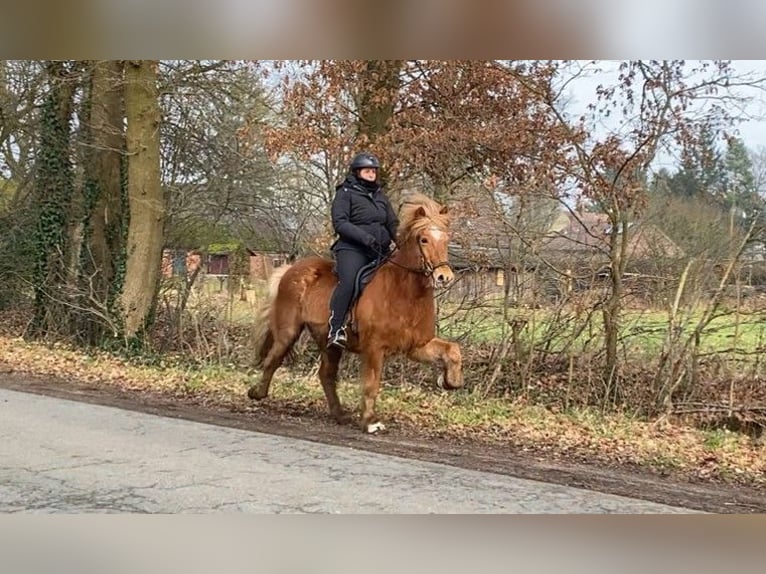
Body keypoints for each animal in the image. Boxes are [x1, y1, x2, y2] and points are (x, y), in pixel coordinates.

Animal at [249, 191, 464, 434]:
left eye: (446, 239)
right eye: (423, 239)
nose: (444, 277)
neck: (404, 292)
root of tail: (291, 270)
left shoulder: (416, 346)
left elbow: (452, 350)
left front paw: (450, 381)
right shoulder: (374, 348)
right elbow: (371, 384)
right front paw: (370, 421)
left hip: (328, 342)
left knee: (326, 374)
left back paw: (340, 414)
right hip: (288, 331)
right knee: (273, 360)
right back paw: (257, 393)